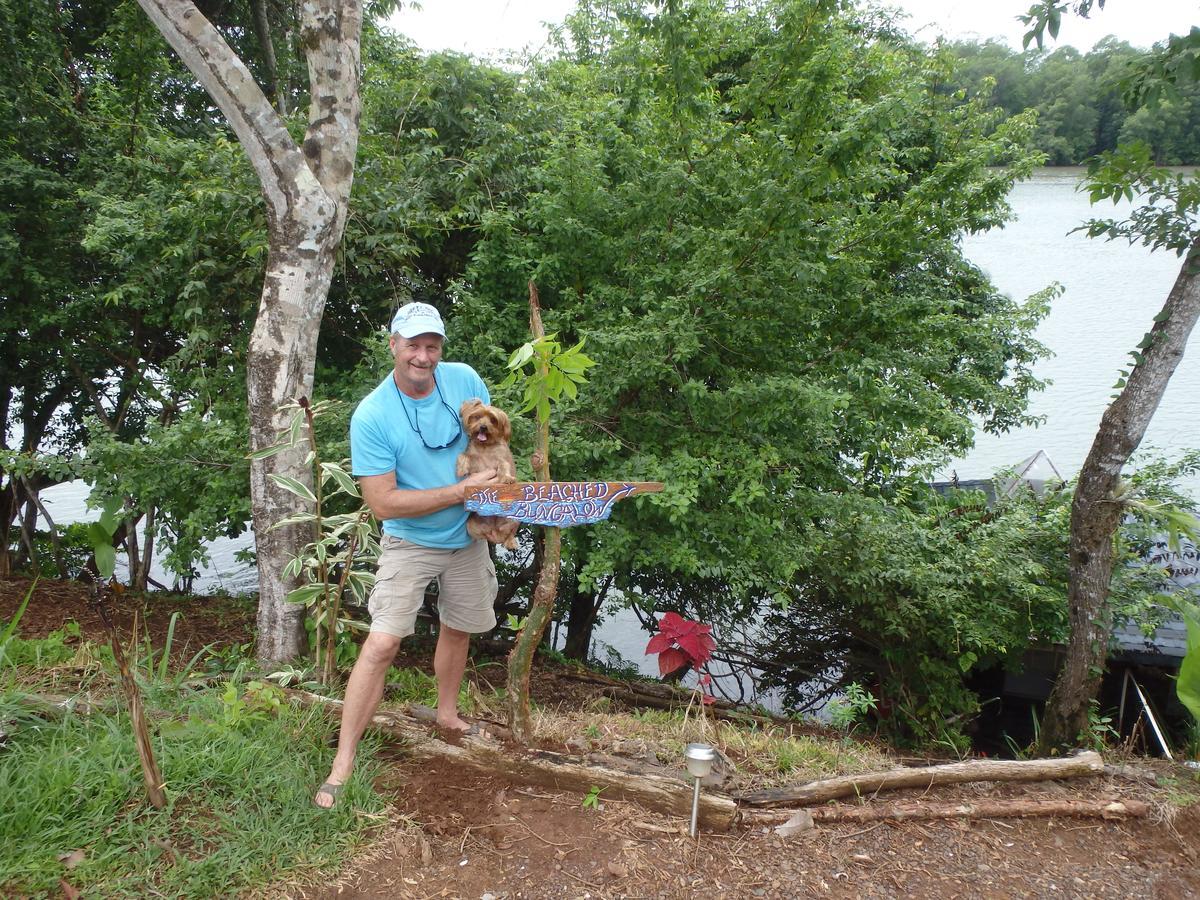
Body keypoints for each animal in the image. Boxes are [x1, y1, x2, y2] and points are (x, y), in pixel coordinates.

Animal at [453, 400, 520, 549]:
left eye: (493, 420)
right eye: (477, 417)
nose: (483, 427)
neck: (484, 447)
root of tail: (494, 530)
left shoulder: (501, 459)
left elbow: (504, 466)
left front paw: (507, 478)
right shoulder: (473, 458)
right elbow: (462, 455)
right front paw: (461, 469)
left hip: (514, 519)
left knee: (510, 533)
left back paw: (511, 542)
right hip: (471, 526)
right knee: (483, 536)